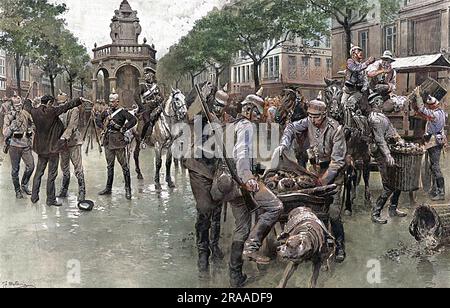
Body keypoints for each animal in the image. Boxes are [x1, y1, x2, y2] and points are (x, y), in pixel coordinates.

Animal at [324, 77, 372, 208]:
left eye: (340, 92)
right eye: (327, 92)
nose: (334, 111)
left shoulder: (346, 156)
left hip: (365, 155)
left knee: (365, 174)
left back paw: (367, 198)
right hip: (355, 156)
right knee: (355, 174)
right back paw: (353, 196)